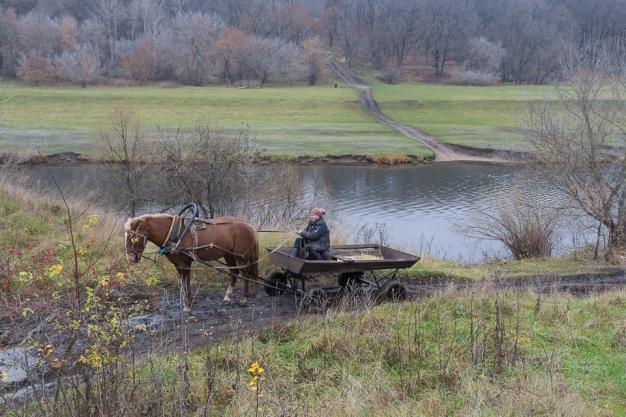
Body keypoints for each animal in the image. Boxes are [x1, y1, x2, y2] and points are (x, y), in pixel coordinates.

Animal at [124, 213, 258, 310]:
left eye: (133, 237)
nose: (130, 259)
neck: (175, 233)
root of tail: (248, 226)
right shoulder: (178, 265)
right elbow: (184, 283)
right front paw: (188, 303)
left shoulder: (185, 264)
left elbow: (186, 284)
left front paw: (187, 306)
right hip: (228, 254)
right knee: (234, 273)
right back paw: (227, 298)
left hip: (241, 256)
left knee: (245, 273)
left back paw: (244, 299)